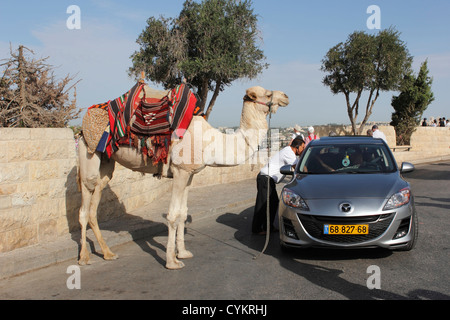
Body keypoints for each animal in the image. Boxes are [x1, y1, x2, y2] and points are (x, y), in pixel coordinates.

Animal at [77, 84, 288, 268]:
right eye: (268, 94)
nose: (285, 96)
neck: (210, 142)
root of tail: (82, 125)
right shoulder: (180, 171)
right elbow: (172, 215)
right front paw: (172, 261)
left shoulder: (190, 174)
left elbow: (182, 213)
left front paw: (183, 252)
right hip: (89, 153)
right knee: (85, 202)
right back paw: (85, 258)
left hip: (106, 162)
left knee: (95, 199)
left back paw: (107, 253)